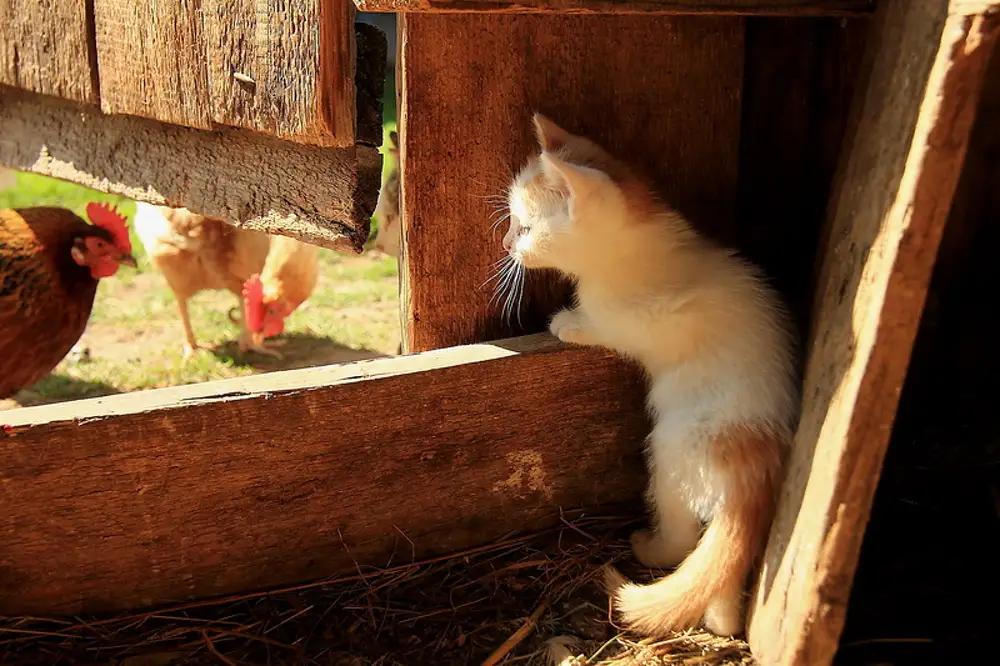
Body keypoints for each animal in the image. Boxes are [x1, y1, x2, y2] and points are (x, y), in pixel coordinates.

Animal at [504, 115, 800, 640]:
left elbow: (603, 326)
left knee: (682, 539)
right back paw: (720, 622)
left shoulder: (643, 320)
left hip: (670, 456)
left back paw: (648, 546)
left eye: (525, 227)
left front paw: (567, 322)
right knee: (722, 581)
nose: (505, 244)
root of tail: (758, 458)